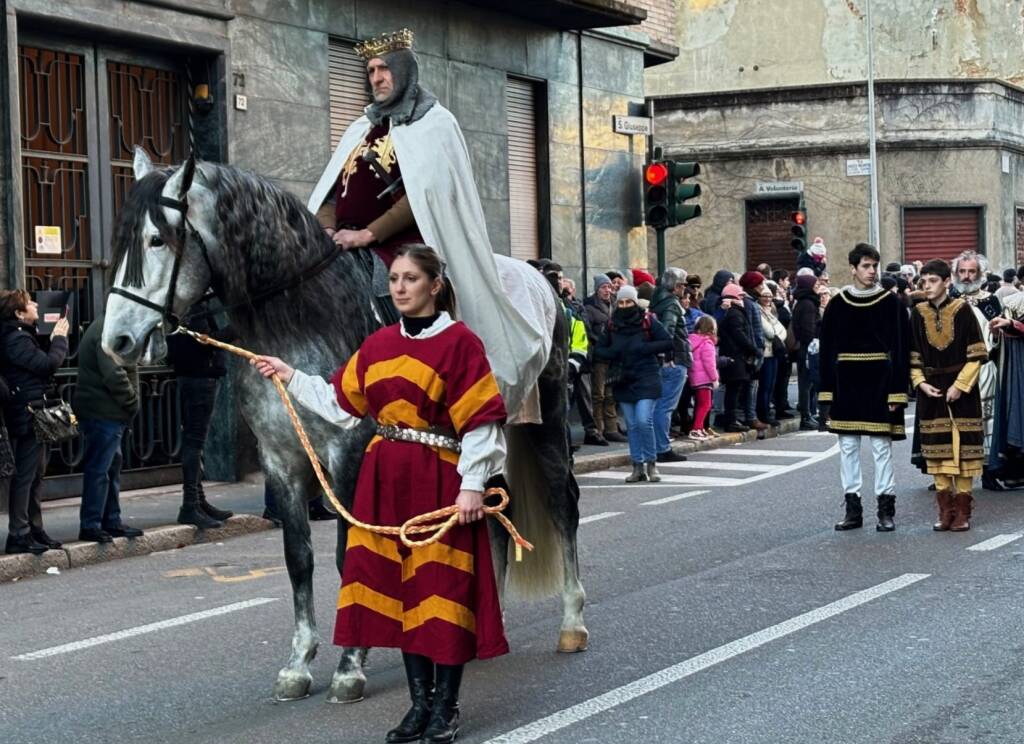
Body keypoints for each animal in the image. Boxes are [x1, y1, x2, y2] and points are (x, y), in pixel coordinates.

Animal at [102, 151, 589, 704]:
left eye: (157, 240)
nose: (117, 341)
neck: (300, 320)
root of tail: (539, 274)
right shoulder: (282, 461)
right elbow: (298, 559)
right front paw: (299, 663)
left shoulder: (347, 455)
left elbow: (348, 553)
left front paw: (350, 665)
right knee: (489, 510)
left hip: (545, 418)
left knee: (562, 503)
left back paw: (571, 623)